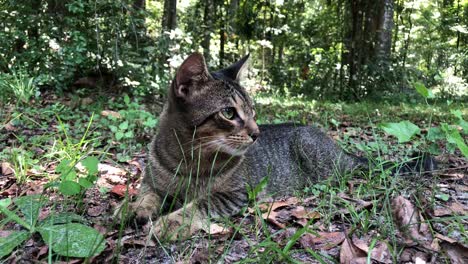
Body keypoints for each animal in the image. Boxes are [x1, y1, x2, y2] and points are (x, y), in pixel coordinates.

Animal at [114, 52, 436, 240]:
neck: (187, 159)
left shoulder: (235, 194)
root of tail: (341, 150)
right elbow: (145, 195)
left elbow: (199, 204)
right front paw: (132, 209)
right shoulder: (152, 181)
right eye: (229, 113)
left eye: (253, 112)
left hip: (319, 160)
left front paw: (171, 223)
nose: (256, 133)